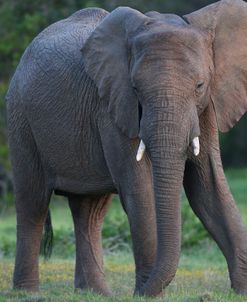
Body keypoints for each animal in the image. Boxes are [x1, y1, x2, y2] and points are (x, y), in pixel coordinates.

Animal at [5, 0, 247, 298]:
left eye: (200, 86)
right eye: (135, 88)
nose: (142, 292)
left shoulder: (208, 107)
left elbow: (208, 188)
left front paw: (242, 292)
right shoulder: (113, 106)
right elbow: (140, 189)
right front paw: (149, 295)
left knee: (89, 210)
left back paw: (95, 294)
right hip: (20, 118)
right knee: (33, 202)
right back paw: (27, 293)